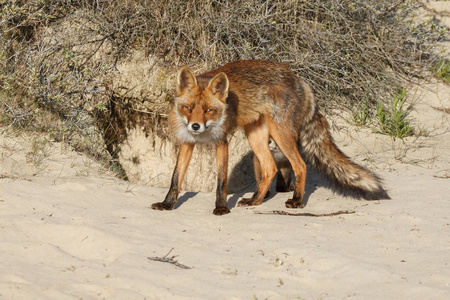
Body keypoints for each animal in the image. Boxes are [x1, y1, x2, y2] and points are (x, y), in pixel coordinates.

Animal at [151, 59, 390, 214]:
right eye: (189, 108)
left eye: (209, 110)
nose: (196, 126)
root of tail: (298, 78)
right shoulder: (186, 143)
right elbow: (175, 179)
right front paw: (167, 204)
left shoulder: (221, 142)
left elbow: (221, 181)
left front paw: (221, 207)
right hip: (256, 136)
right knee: (270, 169)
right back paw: (255, 200)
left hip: (280, 133)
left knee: (300, 165)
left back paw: (297, 201)